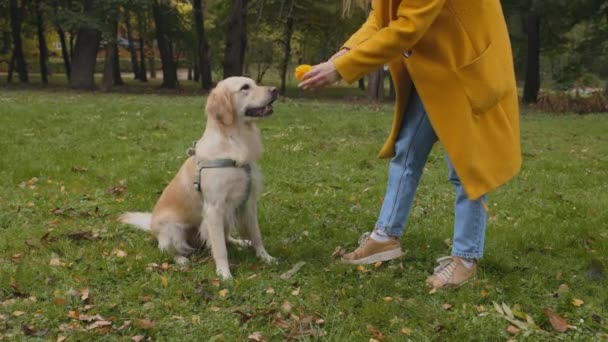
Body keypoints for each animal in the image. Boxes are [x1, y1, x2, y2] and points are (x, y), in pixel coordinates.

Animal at [120, 77, 276, 278]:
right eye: (245, 87)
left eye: (255, 83)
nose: (275, 90)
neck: (234, 139)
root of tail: (152, 226)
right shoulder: (214, 208)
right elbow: (219, 248)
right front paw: (224, 274)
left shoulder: (248, 203)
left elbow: (256, 236)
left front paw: (266, 257)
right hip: (174, 230)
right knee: (167, 250)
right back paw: (181, 260)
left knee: (225, 237)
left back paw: (240, 242)